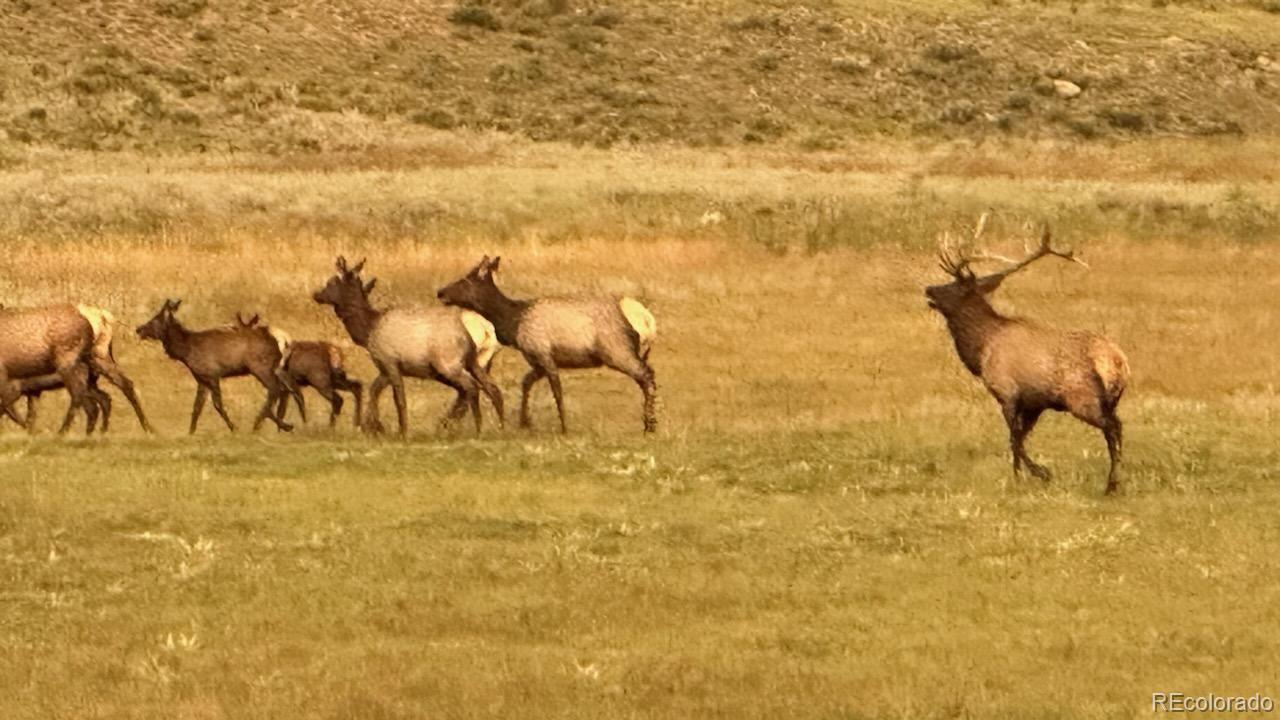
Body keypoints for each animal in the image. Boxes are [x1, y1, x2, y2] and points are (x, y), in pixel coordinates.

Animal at [440, 253, 660, 430]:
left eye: (465, 280)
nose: (440, 292)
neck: (513, 322)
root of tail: (647, 320)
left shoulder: (544, 354)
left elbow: (557, 391)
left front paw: (564, 427)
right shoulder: (536, 361)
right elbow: (526, 382)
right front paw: (524, 421)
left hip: (617, 350)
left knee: (646, 375)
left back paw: (649, 424)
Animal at [931, 215, 1131, 489]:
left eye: (953, 286)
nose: (929, 289)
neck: (980, 351)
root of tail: (1116, 361)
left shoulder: (1007, 392)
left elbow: (1013, 438)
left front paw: (1035, 473)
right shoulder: (1035, 402)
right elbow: (1021, 437)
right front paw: (1023, 473)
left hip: (1081, 399)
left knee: (1111, 428)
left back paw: (1111, 484)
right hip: (1111, 400)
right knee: (1117, 426)